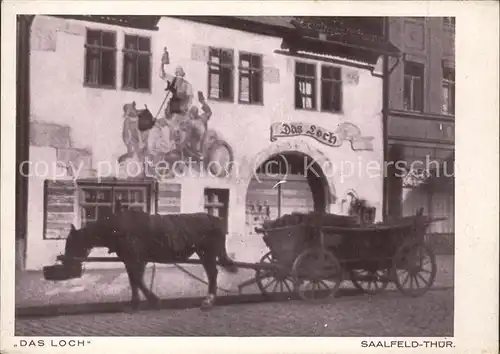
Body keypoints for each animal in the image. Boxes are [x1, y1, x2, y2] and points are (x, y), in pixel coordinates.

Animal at [62, 206, 238, 312]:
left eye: (70, 242)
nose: (64, 261)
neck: (115, 229)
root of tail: (214, 218)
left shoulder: (136, 258)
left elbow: (137, 279)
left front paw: (154, 300)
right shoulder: (128, 260)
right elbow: (133, 280)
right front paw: (134, 303)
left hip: (207, 252)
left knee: (212, 273)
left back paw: (208, 301)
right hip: (205, 253)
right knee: (212, 273)